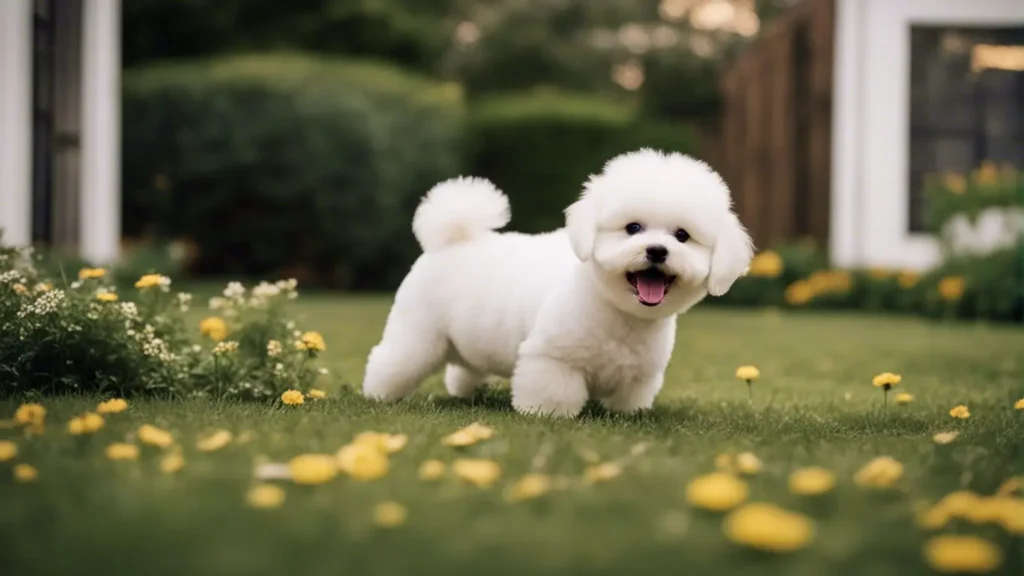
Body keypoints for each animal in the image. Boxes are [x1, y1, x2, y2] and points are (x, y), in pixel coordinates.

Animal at [362, 146, 753, 416]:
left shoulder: (640, 376)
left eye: (682, 236)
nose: (657, 250)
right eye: (633, 228)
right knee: (393, 360)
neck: (618, 313)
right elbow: (554, 393)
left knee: (464, 367)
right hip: (418, 334)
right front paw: (547, 415)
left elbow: (630, 401)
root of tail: (454, 238)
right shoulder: (552, 359)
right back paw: (377, 395)